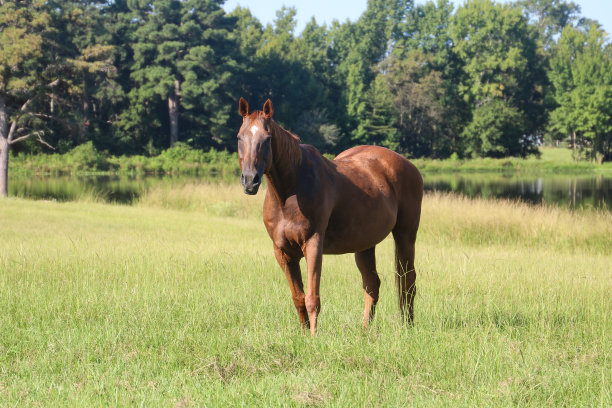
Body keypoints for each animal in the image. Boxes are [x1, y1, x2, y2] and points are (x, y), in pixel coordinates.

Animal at [237, 99, 424, 334]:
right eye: (239, 137)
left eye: (267, 138)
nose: (250, 180)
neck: (289, 193)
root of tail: (408, 165)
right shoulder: (283, 252)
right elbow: (298, 298)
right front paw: (304, 335)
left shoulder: (313, 245)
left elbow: (312, 298)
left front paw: (314, 337)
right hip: (364, 244)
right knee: (372, 285)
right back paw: (364, 331)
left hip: (405, 236)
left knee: (408, 282)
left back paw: (408, 327)